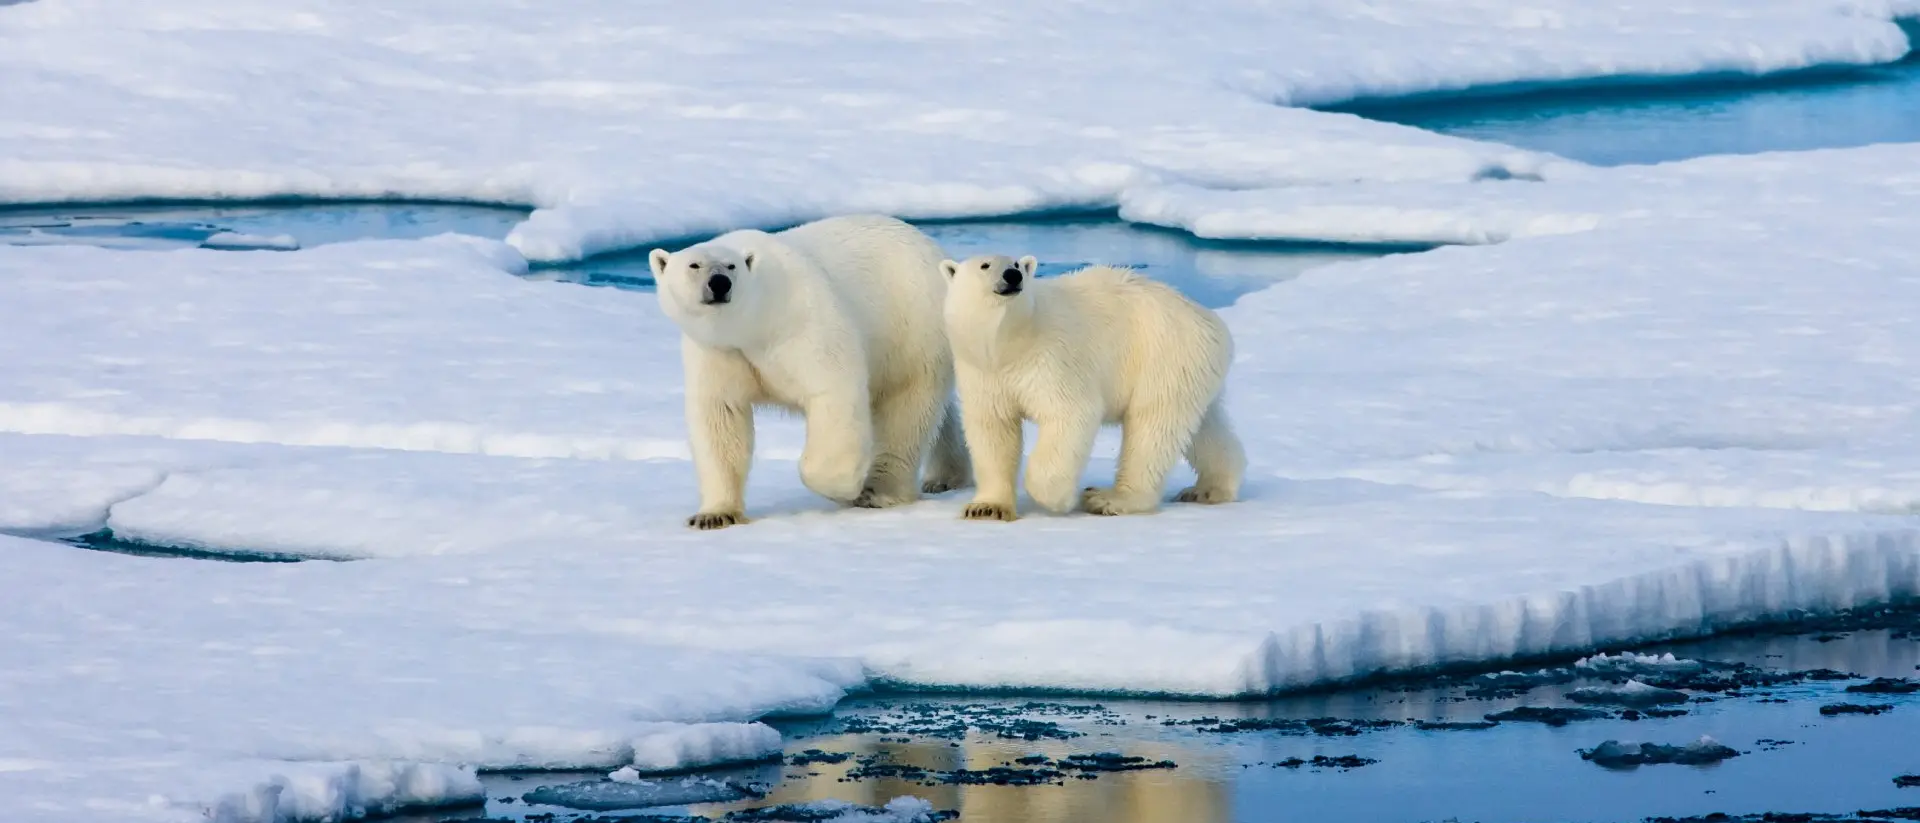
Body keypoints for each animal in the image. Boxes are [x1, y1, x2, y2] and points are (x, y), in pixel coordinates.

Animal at [650, 215, 972, 530]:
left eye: (732, 266)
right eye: (694, 265)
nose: (719, 283)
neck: (755, 322)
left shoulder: (802, 323)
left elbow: (833, 391)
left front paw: (846, 488)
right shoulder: (718, 350)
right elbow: (720, 416)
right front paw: (714, 515)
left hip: (912, 327)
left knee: (905, 409)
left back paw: (878, 491)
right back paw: (946, 476)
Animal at [939, 254, 1245, 520]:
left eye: (1016, 264)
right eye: (985, 265)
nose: (1012, 276)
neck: (1009, 344)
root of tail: (1211, 321)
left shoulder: (1051, 358)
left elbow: (1071, 413)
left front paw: (1058, 499)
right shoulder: (983, 373)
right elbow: (992, 430)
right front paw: (986, 508)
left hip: (1164, 356)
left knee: (1151, 427)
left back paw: (1109, 498)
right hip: (1192, 369)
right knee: (1202, 427)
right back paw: (1209, 488)